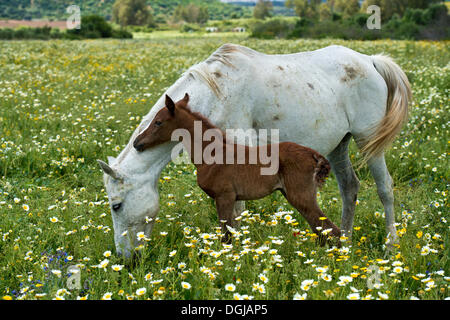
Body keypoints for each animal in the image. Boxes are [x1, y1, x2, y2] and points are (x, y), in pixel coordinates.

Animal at [134, 94, 342, 246]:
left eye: (158, 122)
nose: (137, 143)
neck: (212, 154)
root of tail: (313, 154)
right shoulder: (233, 199)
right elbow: (233, 233)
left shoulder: (224, 196)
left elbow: (226, 236)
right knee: (321, 230)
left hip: (301, 196)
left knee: (332, 230)